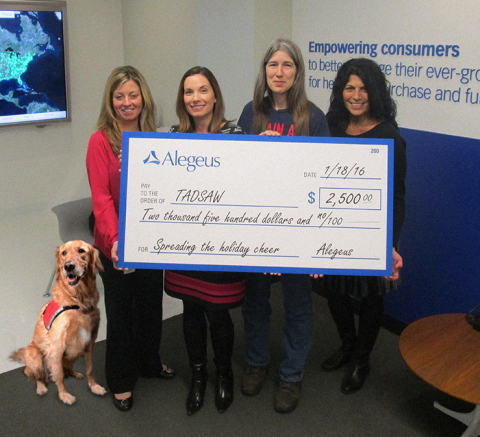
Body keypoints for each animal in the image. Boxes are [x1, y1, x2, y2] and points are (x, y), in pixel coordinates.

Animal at [11, 240, 108, 404]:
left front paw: (94, 386)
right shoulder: (56, 348)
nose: (68, 266)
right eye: (64, 253)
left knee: (66, 369)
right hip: (35, 355)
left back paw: (75, 373)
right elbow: (60, 376)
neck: (79, 302)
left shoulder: (89, 343)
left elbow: (89, 369)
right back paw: (41, 387)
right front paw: (64, 395)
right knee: (39, 376)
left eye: (81, 251)